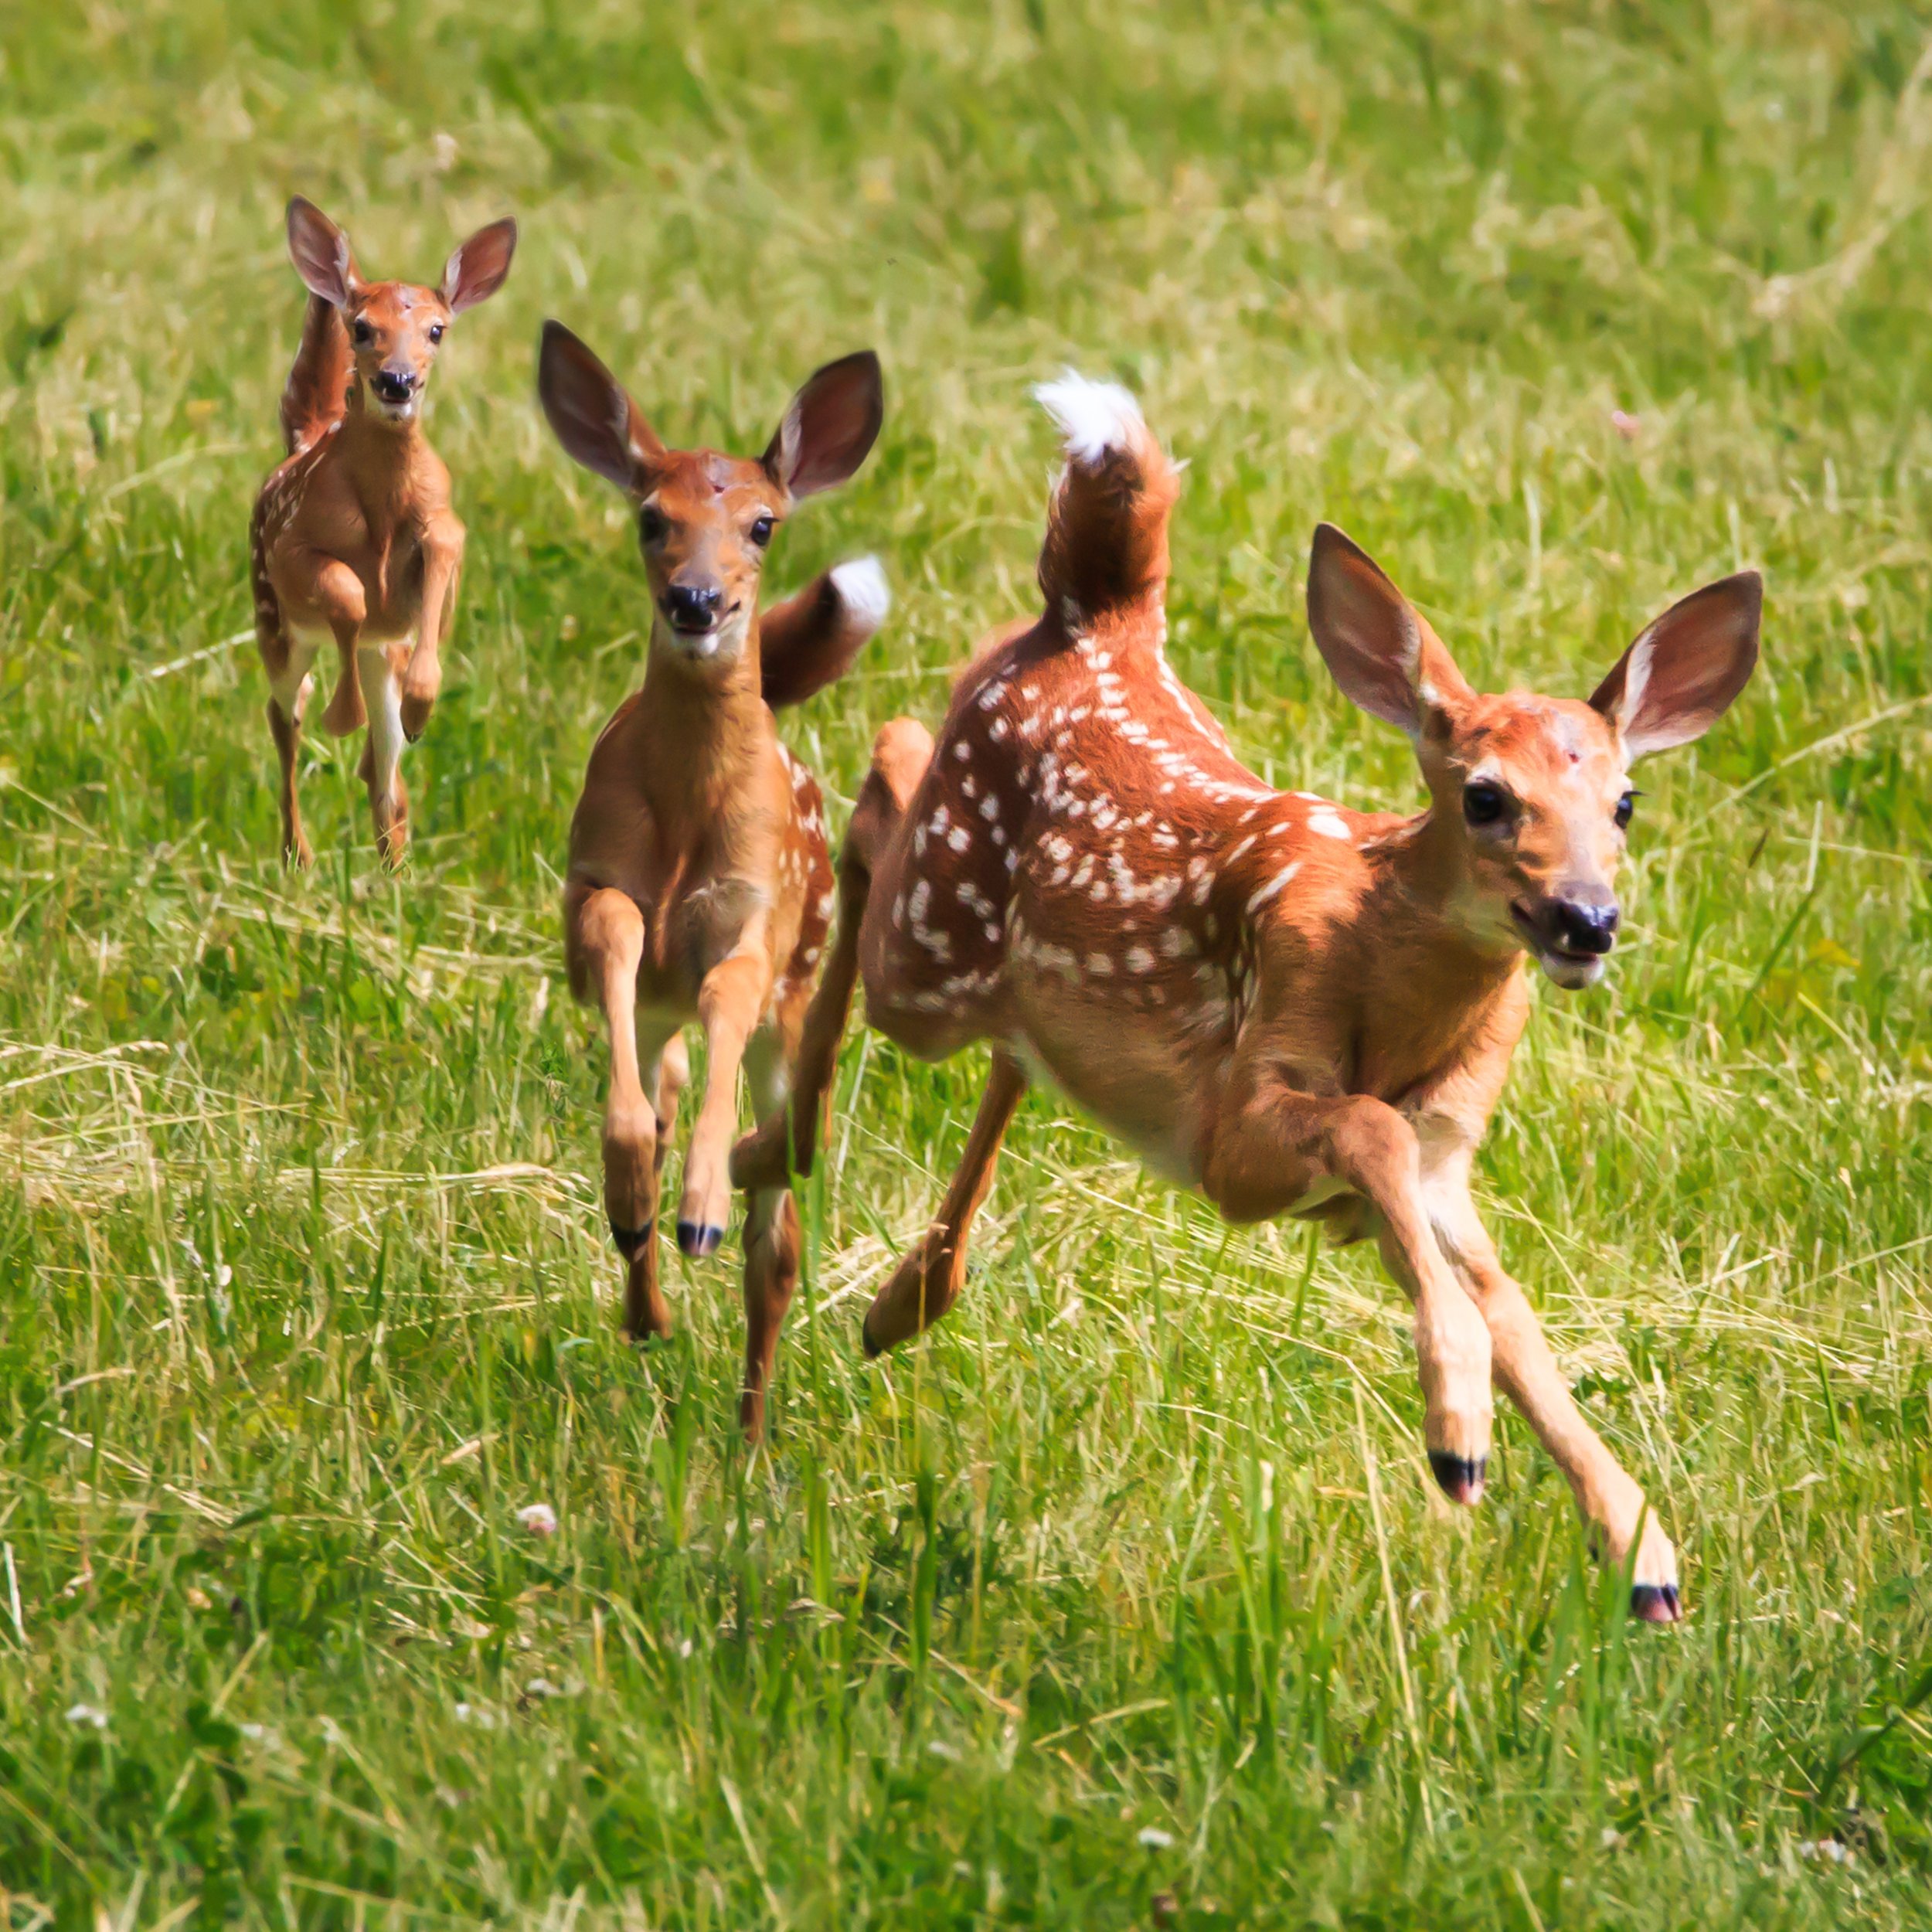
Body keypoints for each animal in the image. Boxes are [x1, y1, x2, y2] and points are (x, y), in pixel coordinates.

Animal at [250, 197, 517, 869]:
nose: (397, 382)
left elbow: (439, 553)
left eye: (437, 330)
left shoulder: (446, 528)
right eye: (362, 328)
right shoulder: (291, 548)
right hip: (273, 621)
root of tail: (304, 441)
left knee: (382, 766)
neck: (380, 515)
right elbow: (347, 591)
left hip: (380, 653)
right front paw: (340, 715)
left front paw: (423, 705)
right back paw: (298, 853)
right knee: (285, 713)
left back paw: (394, 863)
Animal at [537, 320, 888, 1438]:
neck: (689, 824)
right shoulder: (593, 887)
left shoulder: (759, 919)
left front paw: (700, 1211)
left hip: (798, 1007)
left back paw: (747, 1431)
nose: (697, 601)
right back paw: (646, 1293)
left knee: (776, 1241)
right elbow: (616, 945)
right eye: (653, 516)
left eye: (764, 525)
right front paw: (638, 1198)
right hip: (661, 1017)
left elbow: (731, 989)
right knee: (665, 1091)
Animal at [734, 373, 1760, 1620]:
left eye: (1623, 802)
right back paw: (771, 1151)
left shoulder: (1440, 1165)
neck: (1386, 967)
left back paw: (896, 1298)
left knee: (1010, 1039)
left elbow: (1510, 1307)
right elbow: (1368, 1135)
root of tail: (1094, 611)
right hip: (926, 942)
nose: (1585, 920)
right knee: (882, 774)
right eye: (1483, 796)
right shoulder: (1242, 1127)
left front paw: (1641, 1548)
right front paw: (1458, 1439)